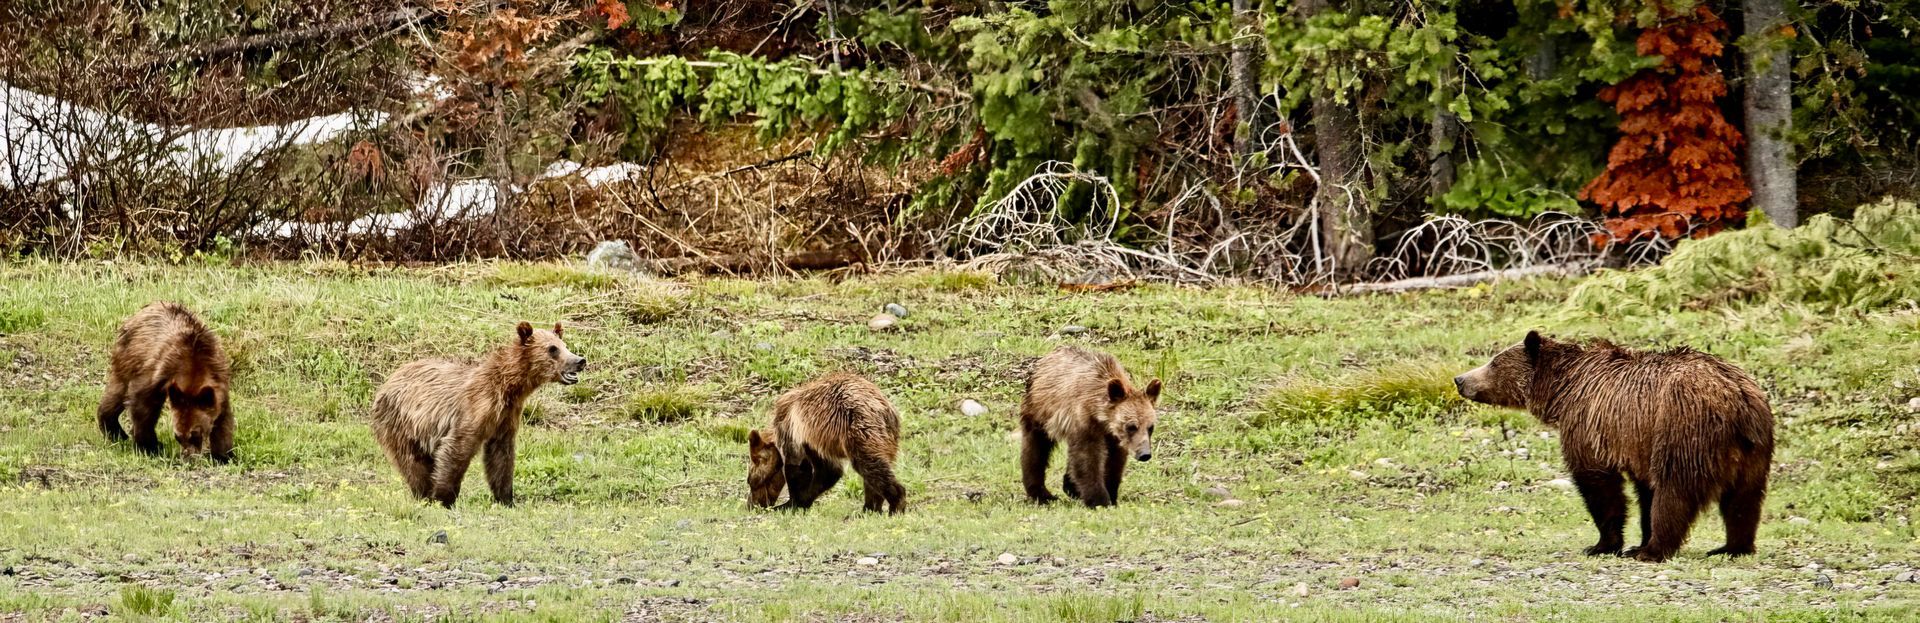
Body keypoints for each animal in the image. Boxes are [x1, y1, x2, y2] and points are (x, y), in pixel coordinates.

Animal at [96, 301, 234, 461]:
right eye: (178, 436)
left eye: (195, 434)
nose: (187, 457)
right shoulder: (158, 372)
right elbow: (142, 406)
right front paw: (149, 447)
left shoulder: (219, 381)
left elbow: (222, 419)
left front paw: (223, 456)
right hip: (127, 357)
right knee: (118, 392)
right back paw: (115, 432)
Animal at [370, 321, 579, 507]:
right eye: (552, 349)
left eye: (565, 346)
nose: (579, 361)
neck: (508, 389)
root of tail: (388, 381)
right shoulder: (474, 409)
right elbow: (457, 448)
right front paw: (444, 498)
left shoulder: (506, 418)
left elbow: (501, 458)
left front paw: (506, 498)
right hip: (401, 423)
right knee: (412, 463)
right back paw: (424, 494)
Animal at [744, 373, 902, 515]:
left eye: (752, 481)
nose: (751, 505)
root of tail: (884, 409)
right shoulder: (815, 440)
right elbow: (828, 472)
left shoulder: (795, 430)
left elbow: (801, 468)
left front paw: (790, 504)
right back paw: (869, 509)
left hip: (859, 427)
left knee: (870, 465)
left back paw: (896, 506)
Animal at [1013, 346, 1159, 507]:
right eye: (1131, 426)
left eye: (1150, 427)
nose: (1145, 454)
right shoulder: (1083, 422)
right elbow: (1087, 459)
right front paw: (1099, 500)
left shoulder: (1114, 437)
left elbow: (1114, 461)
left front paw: (1111, 493)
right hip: (1039, 411)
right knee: (1035, 448)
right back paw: (1042, 494)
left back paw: (1070, 486)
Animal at [1459, 330, 1774, 561]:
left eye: (1494, 362)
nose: (1460, 379)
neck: (1562, 390)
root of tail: (1737, 398)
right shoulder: (1639, 442)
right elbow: (1645, 491)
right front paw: (1635, 538)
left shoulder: (1590, 424)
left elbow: (1599, 485)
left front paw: (1603, 545)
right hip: (1754, 449)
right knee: (1744, 500)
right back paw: (1732, 547)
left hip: (1685, 429)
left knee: (1675, 492)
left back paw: (1652, 551)